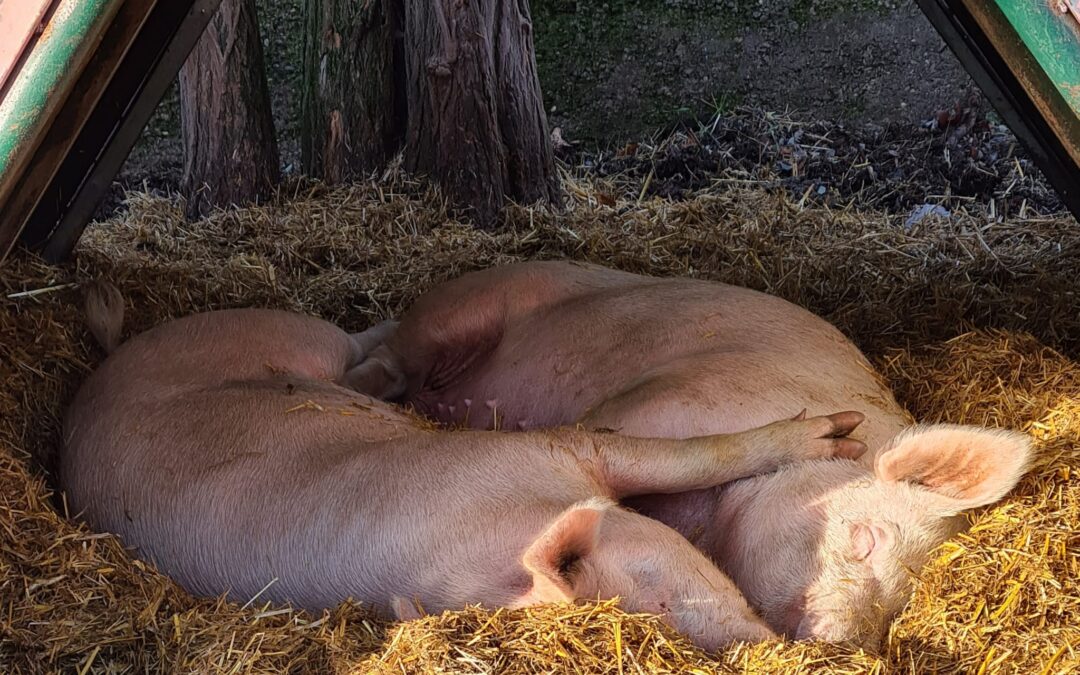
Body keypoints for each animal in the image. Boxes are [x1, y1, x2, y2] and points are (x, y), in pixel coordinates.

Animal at [59, 280, 868, 652]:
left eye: (657, 588)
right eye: (654, 617)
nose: (765, 647)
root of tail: (96, 380)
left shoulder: (545, 449)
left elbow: (683, 457)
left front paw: (844, 435)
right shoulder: (545, 455)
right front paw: (842, 438)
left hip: (276, 331)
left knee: (361, 343)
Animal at [349, 260, 1032, 652]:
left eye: (901, 603)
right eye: (866, 540)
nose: (848, 647)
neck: (712, 523)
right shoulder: (661, 404)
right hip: (461, 309)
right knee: (387, 362)